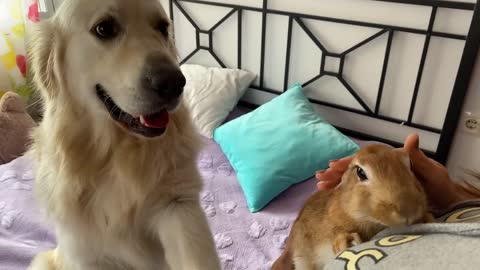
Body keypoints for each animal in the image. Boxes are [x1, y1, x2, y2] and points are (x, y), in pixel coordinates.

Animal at [26, 0, 221, 268]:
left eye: (162, 27)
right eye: (104, 28)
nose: (174, 83)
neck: (116, 154)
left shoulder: (178, 203)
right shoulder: (85, 250)